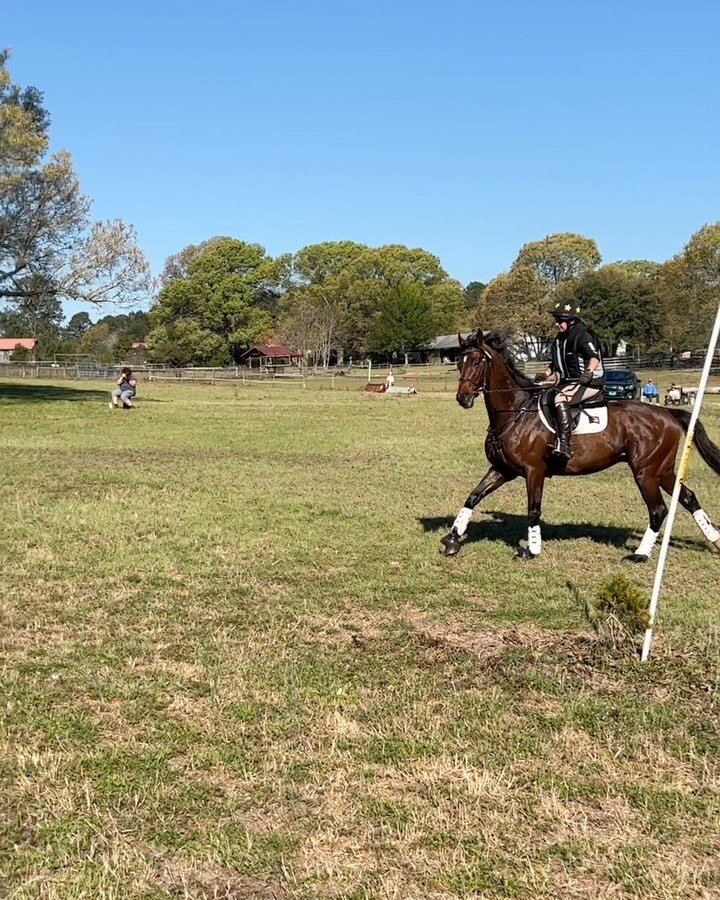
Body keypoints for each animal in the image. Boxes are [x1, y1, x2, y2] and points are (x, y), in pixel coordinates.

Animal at [442, 326, 720, 560]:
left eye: (477, 361)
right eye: (459, 362)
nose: (462, 398)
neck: (514, 411)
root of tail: (667, 413)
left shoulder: (534, 471)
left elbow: (533, 510)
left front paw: (532, 549)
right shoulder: (503, 469)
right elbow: (473, 497)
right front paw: (453, 538)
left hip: (646, 472)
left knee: (658, 509)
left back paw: (640, 554)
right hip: (662, 470)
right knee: (688, 497)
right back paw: (714, 539)